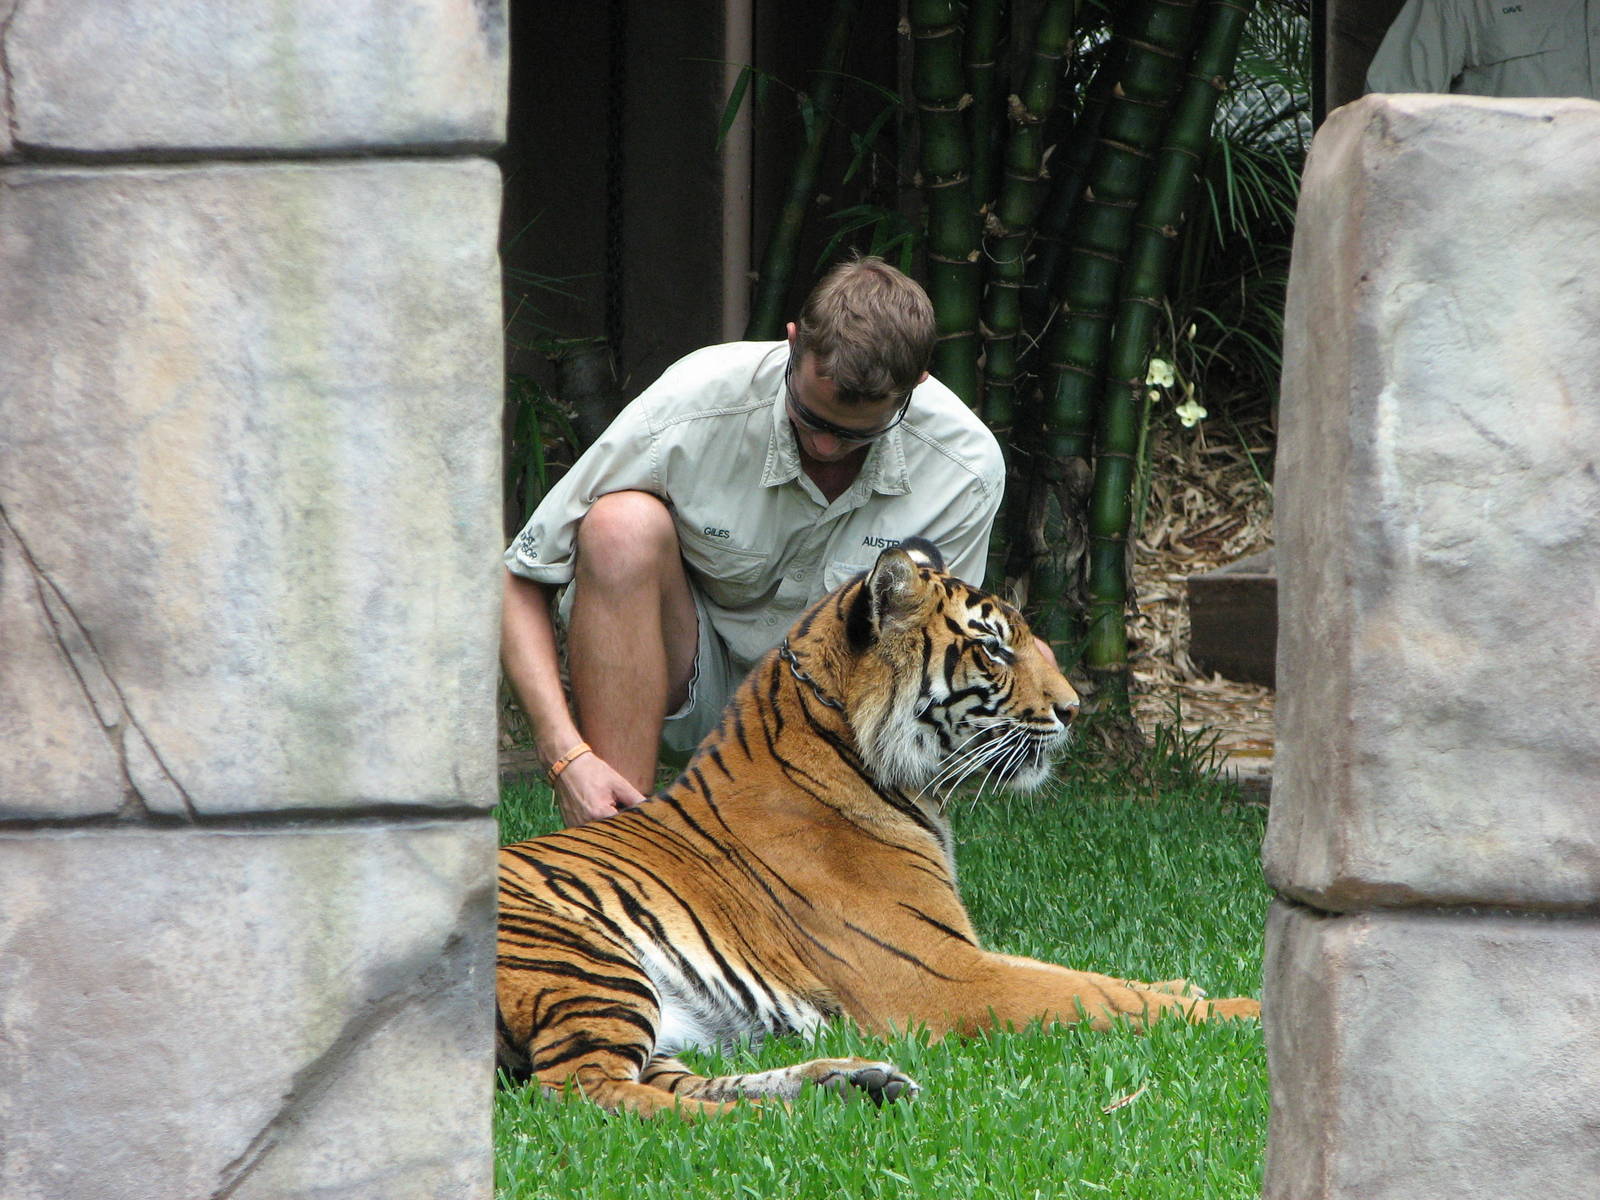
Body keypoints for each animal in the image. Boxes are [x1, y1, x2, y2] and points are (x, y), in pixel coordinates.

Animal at [497, 538, 1261, 1117]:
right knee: (583, 1090)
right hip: (583, 955)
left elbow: (1089, 976)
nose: (1073, 709)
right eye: (995, 650)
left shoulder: (959, 950)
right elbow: (1095, 992)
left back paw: (848, 1083)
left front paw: (1184, 987)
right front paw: (1244, 1008)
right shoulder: (945, 974)